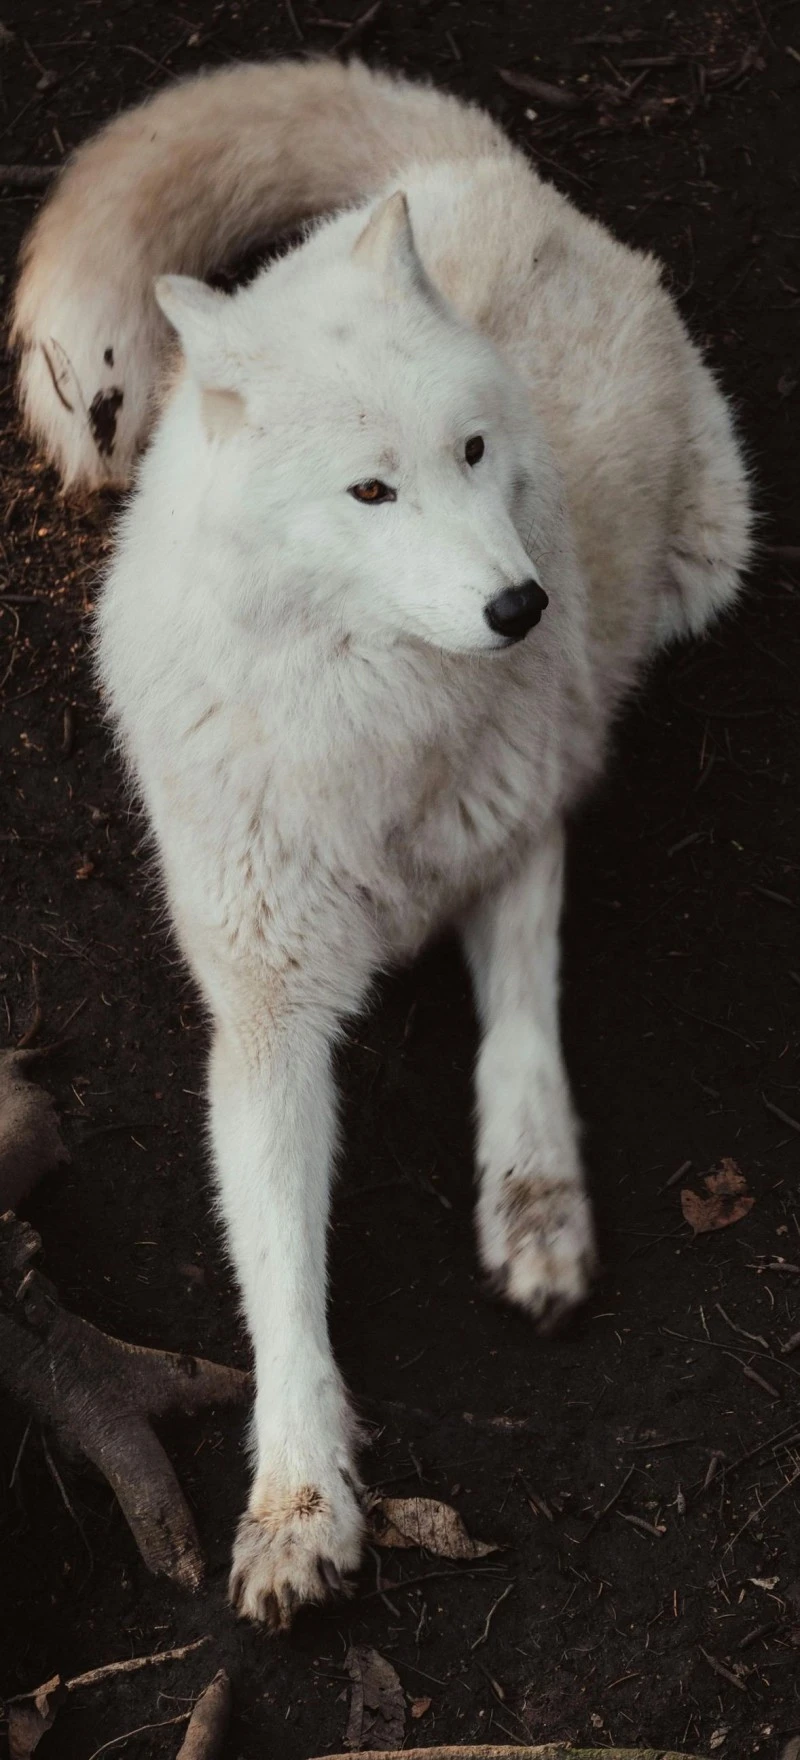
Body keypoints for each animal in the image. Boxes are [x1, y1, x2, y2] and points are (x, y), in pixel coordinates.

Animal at [12, 58, 751, 1628]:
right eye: (369, 491)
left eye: (470, 453)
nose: (523, 608)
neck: (373, 730)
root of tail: (474, 167)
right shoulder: (262, 1008)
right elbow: (280, 1274)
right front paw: (299, 1502)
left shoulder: (524, 809)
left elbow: (522, 1017)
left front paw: (535, 1213)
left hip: (702, 570)